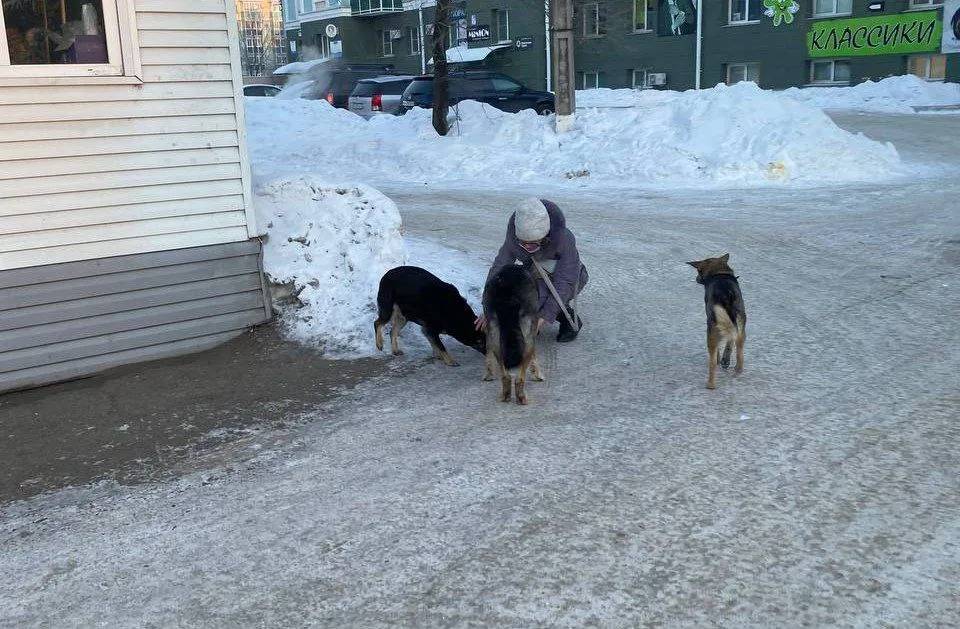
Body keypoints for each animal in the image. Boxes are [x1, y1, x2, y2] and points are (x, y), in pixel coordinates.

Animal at [484, 264, 544, 402]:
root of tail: (504, 285)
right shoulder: (533, 326)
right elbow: (534, 355)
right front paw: (537, 374)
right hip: (527, 335)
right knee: (518, 378)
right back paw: (522, 398)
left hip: (495, 332)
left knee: (505, 376)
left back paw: (505, 395)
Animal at [688, 254, 748, 388]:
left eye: (698, 271)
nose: (696, 279)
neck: (719, 273)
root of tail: (727, 297)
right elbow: (730, 343)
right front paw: (725, 359)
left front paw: (720, 359)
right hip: (741, 327)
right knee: (740, 354)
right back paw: (737, 369)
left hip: (712, 332)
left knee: (712, 364)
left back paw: (710, 385)